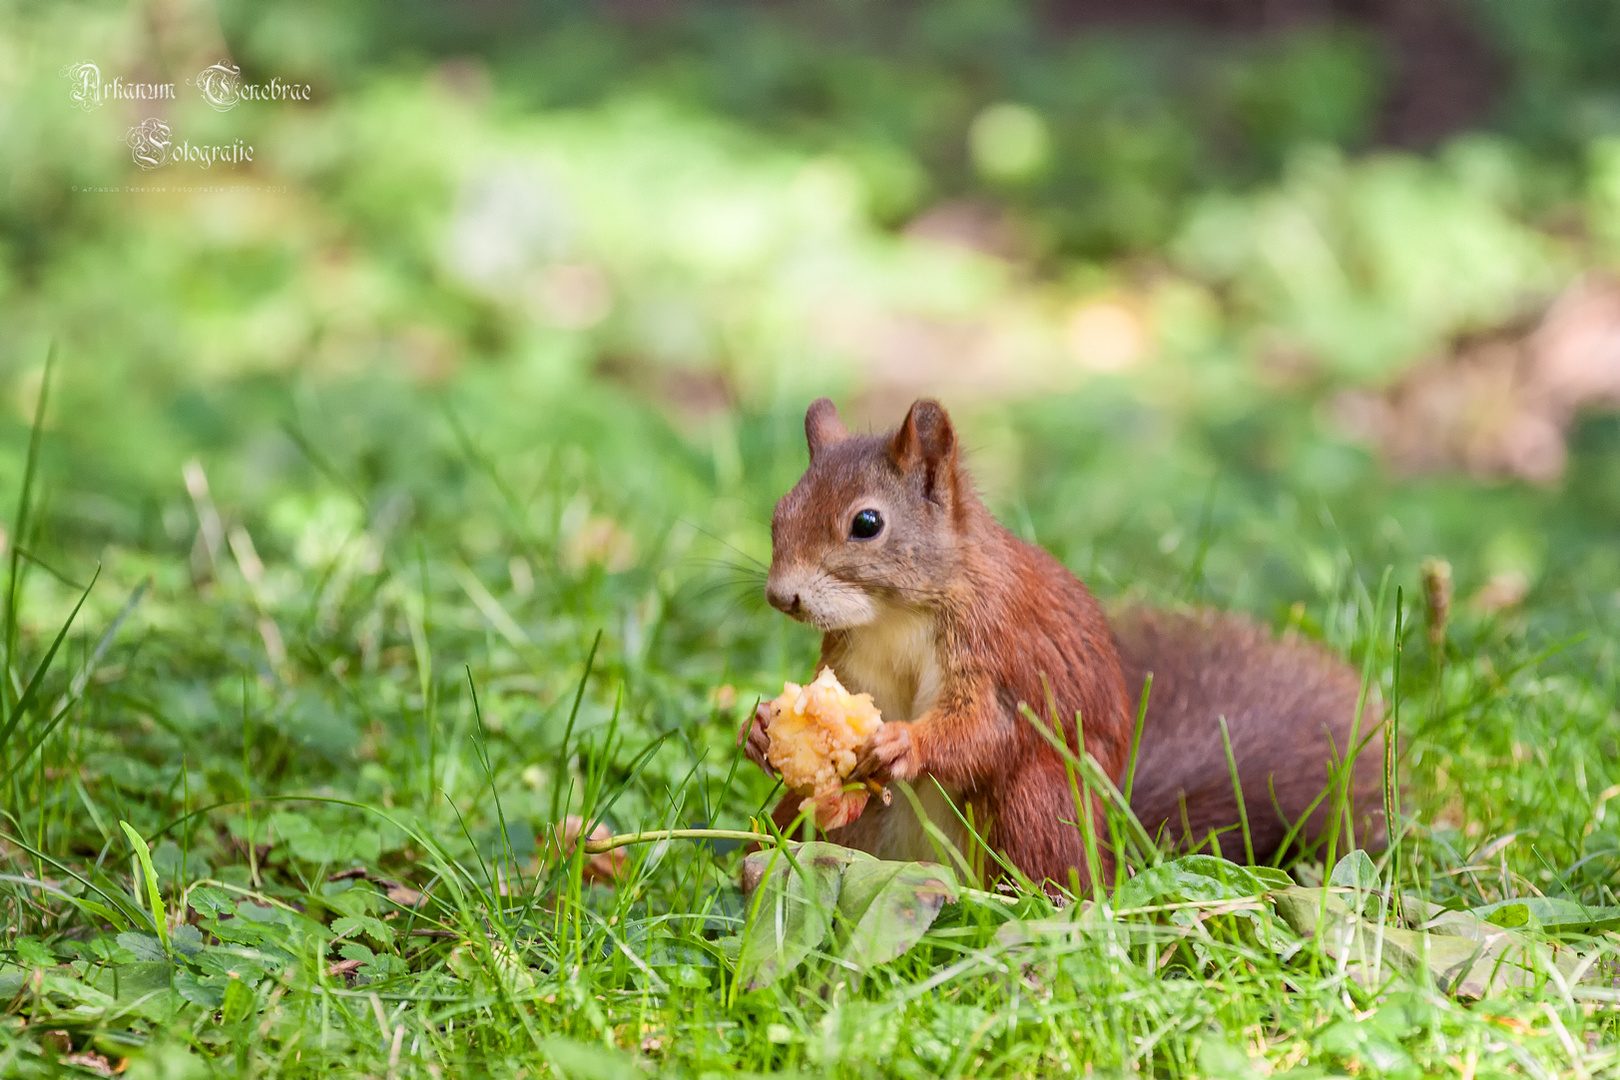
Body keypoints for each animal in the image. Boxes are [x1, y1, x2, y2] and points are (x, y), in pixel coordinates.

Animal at [741, 396, 1386, 887]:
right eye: (777, 513)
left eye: (867, 523)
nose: (780, 596)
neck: (893, 615)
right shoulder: (853, 660)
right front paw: (763, 728)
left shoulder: (998, 644)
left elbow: (988, 727)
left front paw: (908, 743)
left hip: (1040, 803)